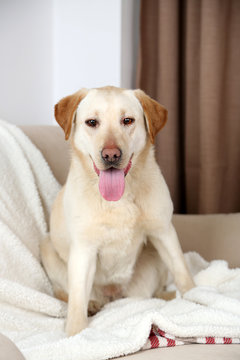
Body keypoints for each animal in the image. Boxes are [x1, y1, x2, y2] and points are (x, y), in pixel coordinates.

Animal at [39, 86, 193, 336]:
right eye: (92, 122)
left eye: (127, 120)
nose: (111, 155)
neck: (118, 199)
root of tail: (113, 297)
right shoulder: (84, 249)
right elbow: (76, 300)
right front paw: (75, 334)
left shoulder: (164, 231)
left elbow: (182, 272)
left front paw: (196, 298)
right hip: (47, 247)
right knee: (66, 294)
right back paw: (91, 305)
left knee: (154, 292)